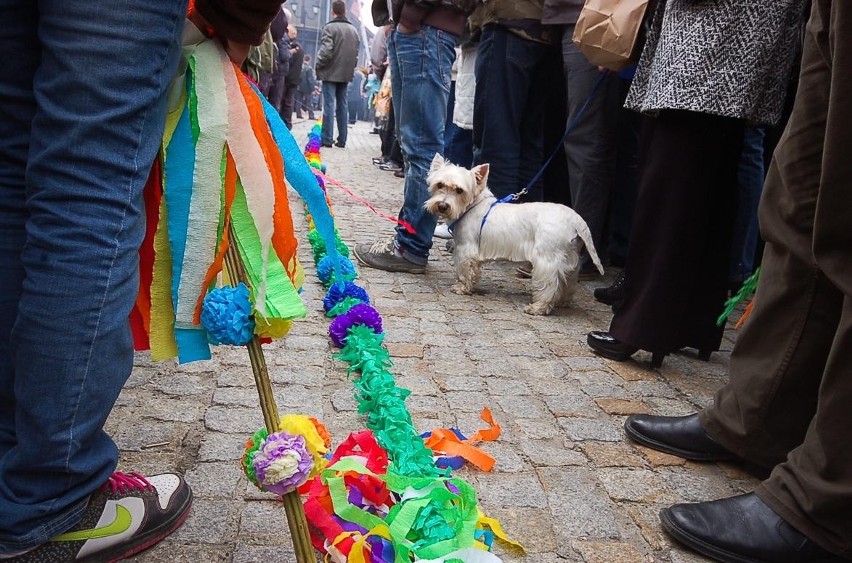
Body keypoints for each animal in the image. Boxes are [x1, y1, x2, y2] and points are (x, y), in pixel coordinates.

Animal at [422, 154, 604, 316]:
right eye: (439, 184)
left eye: (459, 190)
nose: (442, 205)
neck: (472, 206)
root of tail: (575, 219)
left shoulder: (467, 250)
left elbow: (466, 270)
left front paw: (462, 288)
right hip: (570, 259)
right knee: (568, 282)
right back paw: (562, 302)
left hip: (547, 259)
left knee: (549, 285)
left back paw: (537, 307)